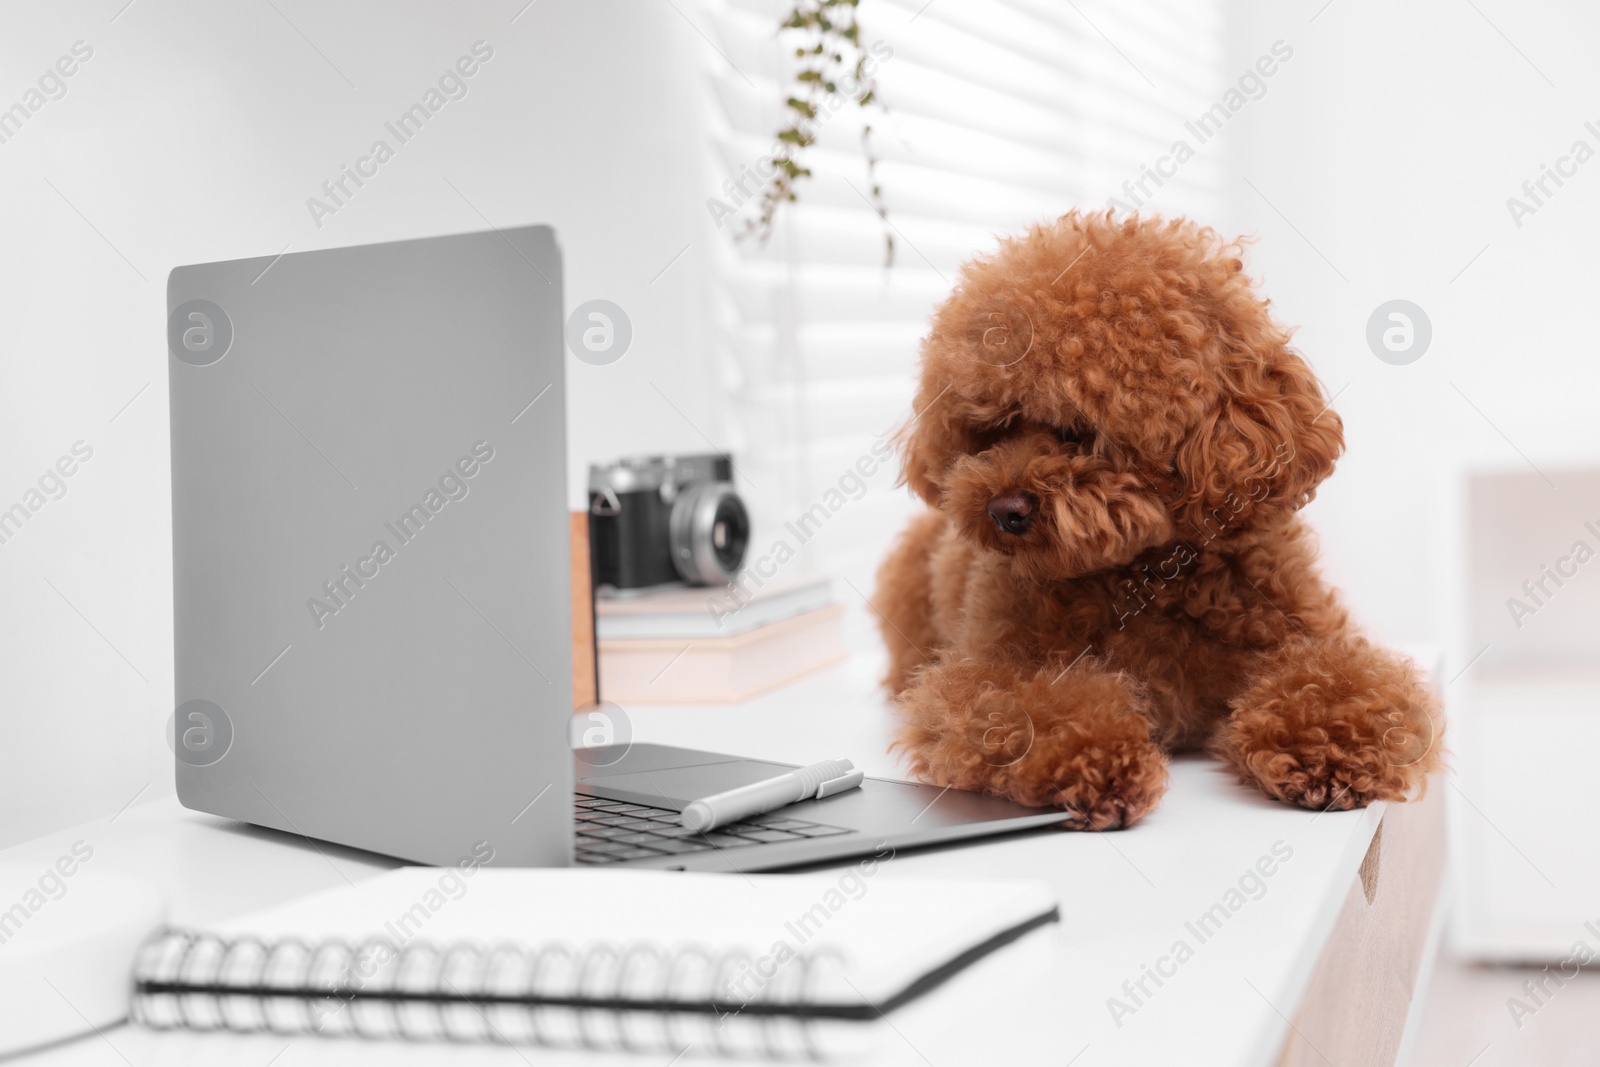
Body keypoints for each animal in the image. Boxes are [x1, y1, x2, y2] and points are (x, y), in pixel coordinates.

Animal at [883, 211, 1446, 825]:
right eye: (996, 429)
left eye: (1079, 430)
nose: (1002, 510)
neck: (1144, 576)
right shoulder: (992, 666)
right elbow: (1023, 703)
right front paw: (1097, 760)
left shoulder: (1311, 636)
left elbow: (1336, 681)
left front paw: (1330, 748)